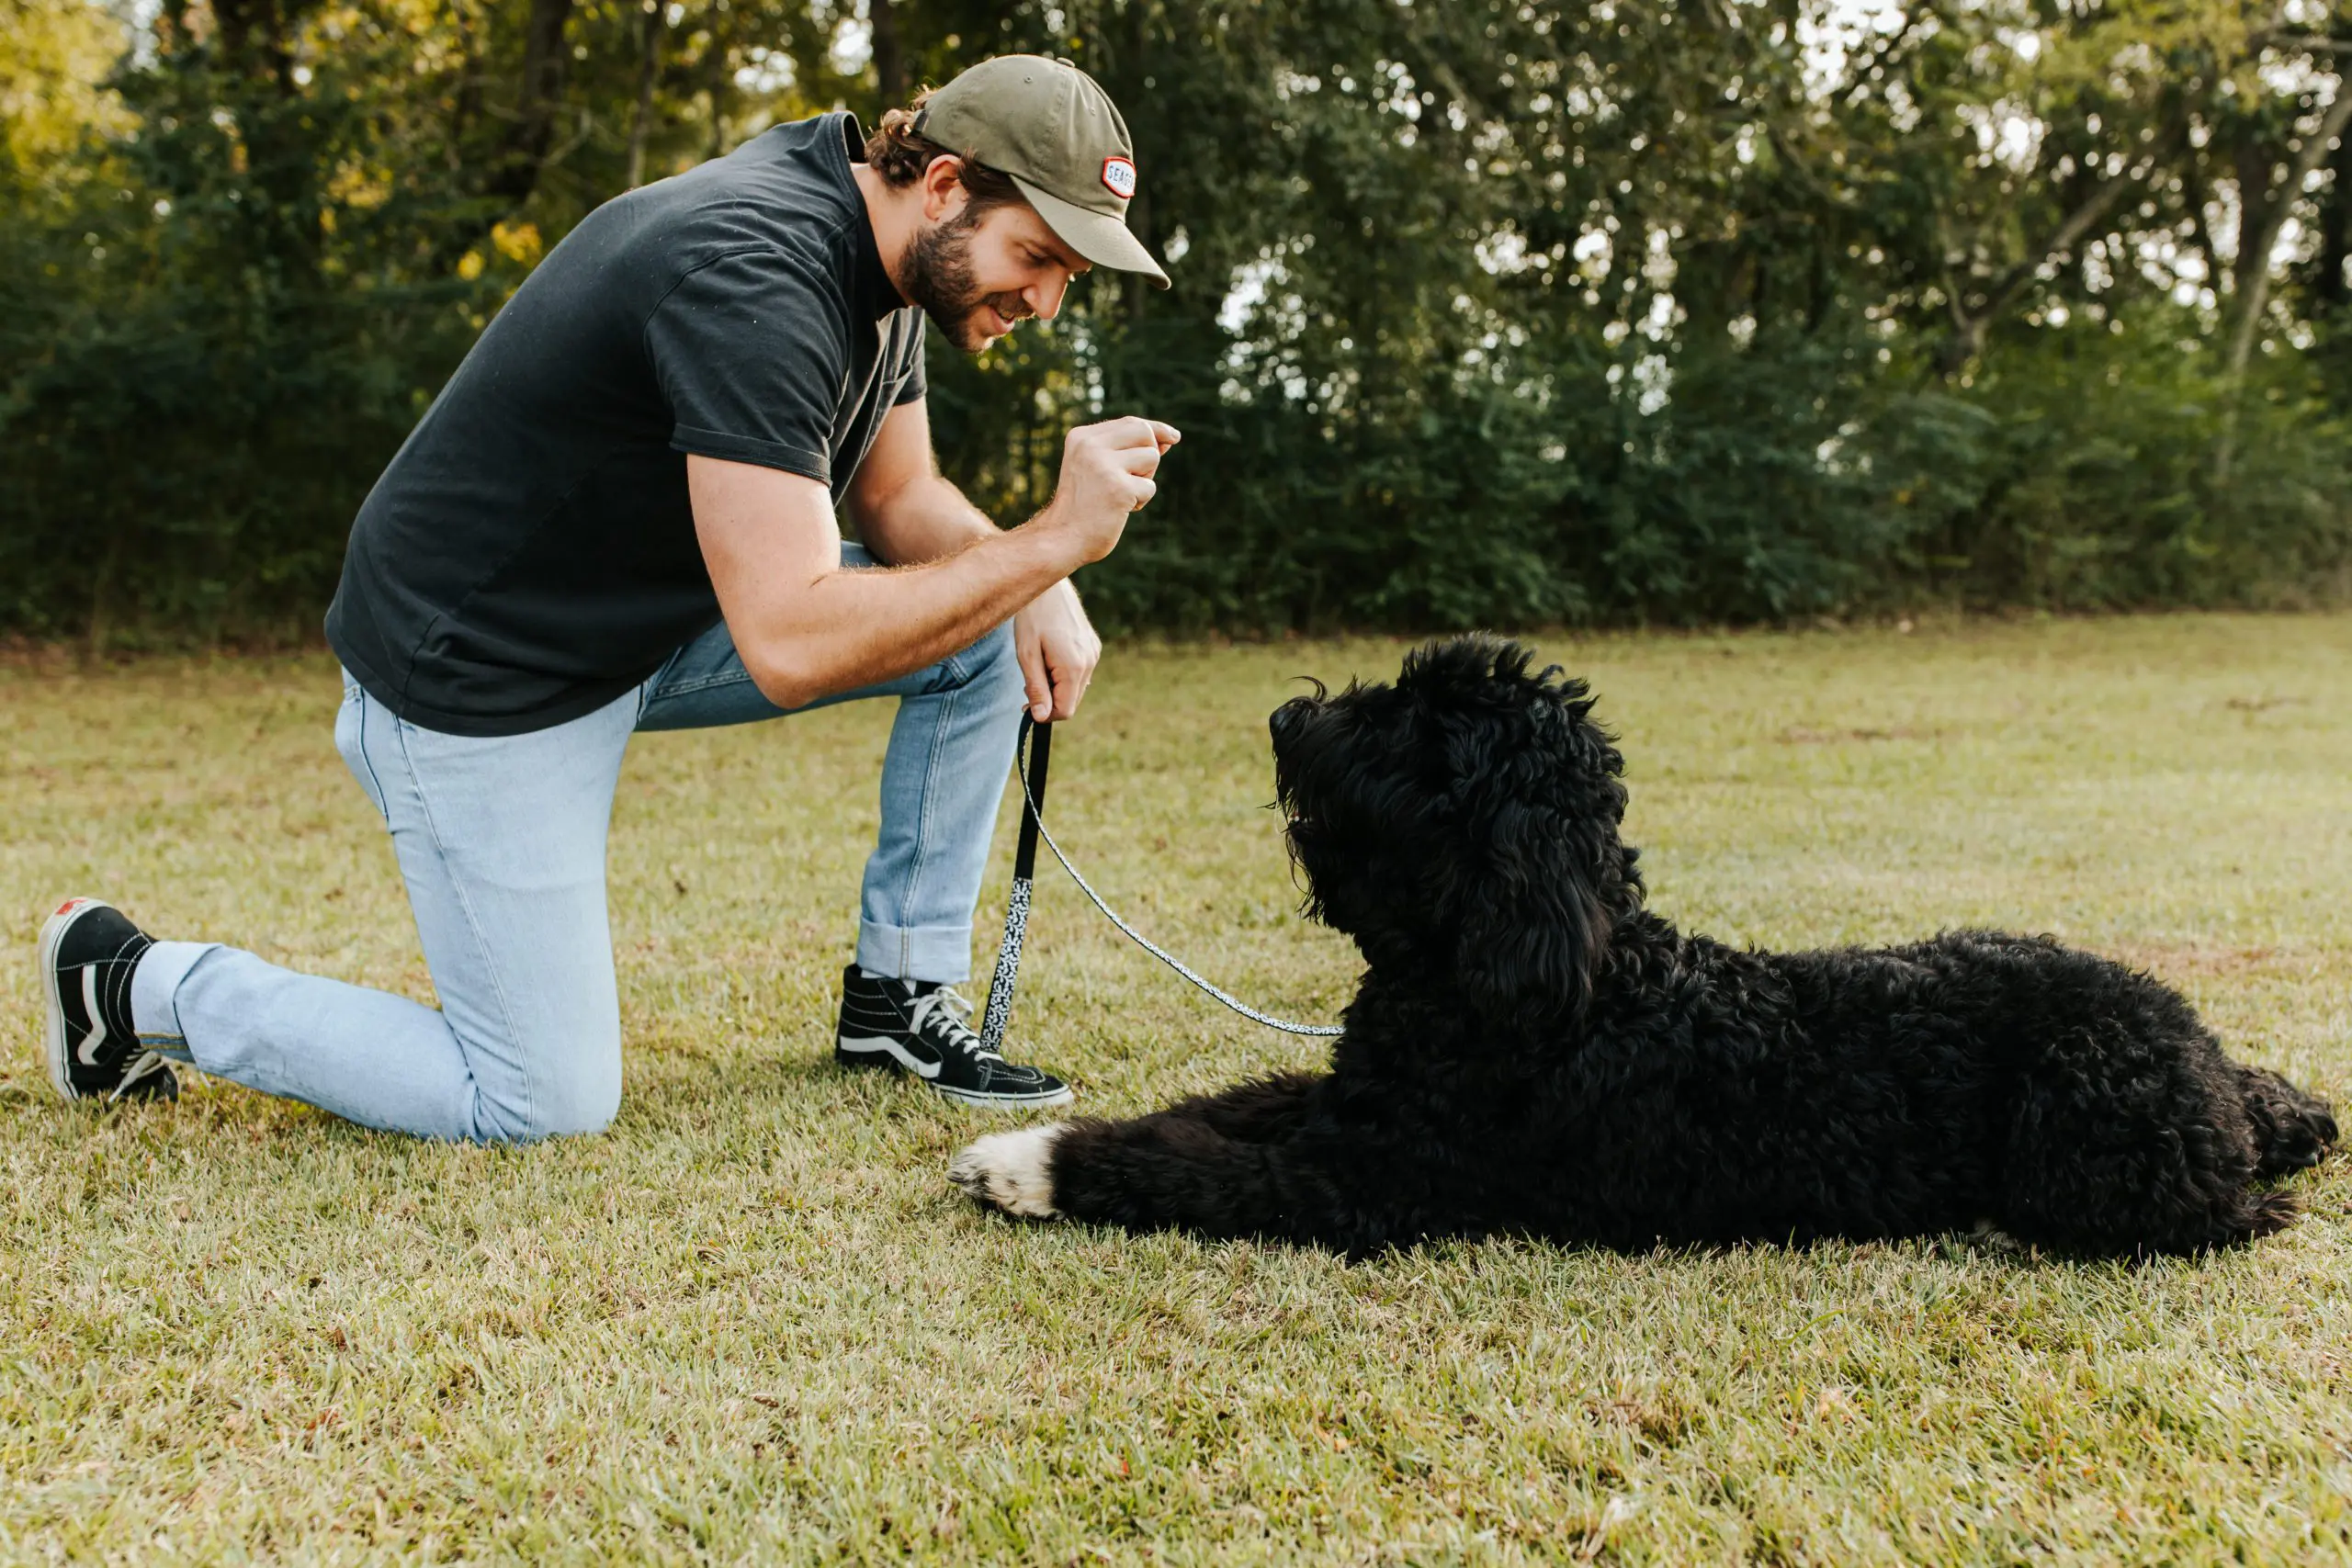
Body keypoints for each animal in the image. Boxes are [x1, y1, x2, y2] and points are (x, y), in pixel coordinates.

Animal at [945, 629, 2324, 1259]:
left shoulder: (1370, 1178)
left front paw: (1034, 1168)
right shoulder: (1341, 1101)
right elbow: (1213, 1106)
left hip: (2095, 1160)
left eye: (1419, 734)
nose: (1291, 713)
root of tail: (2214, 1066)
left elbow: (1182, 1163)